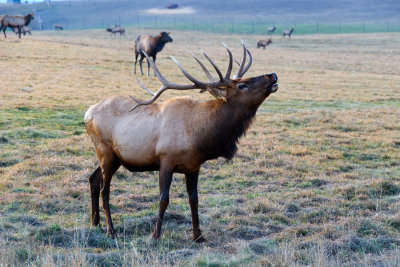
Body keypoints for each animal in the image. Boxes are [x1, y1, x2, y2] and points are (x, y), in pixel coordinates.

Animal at [84, 41, 278, 243]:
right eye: (241, 85)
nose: (272, 75)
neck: (200, 136)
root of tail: (87, 114)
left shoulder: (193, 166)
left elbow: (194, 199)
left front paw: (198, 235)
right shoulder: (165, 160)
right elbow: (164, 198)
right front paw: (155, 235)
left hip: (115, 158)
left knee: (93, 179)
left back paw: (95, 223)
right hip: (105, 151)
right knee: (105, 189)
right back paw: (111, 230)